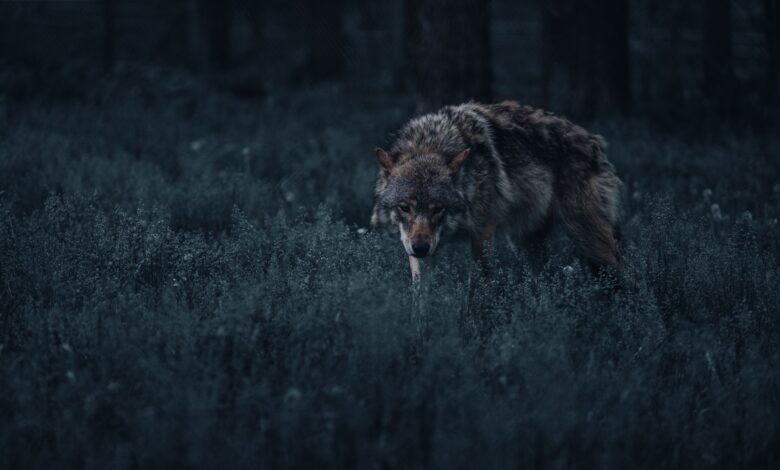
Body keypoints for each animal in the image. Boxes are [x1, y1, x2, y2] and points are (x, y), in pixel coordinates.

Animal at [371, 101, 621, 278]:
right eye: (404, 208)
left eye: (437, 208)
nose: (421, 248)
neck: (431, 145)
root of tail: (594, 140)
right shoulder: (416, 248)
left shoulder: (483, 233)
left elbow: (477, 294)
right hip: (526, 245)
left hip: (590, 242)